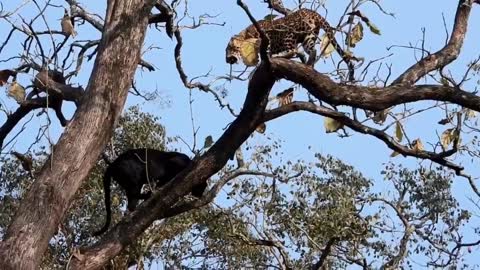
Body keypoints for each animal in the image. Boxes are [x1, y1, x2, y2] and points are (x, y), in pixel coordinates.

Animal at [226, 8, 356, 79]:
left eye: (230, 48)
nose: (227, 60)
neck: (245, 35)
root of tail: (312, 12)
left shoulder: (265, 39)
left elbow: (266, 53)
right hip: (308, 37)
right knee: (311, 51)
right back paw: (308, 64)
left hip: (289, 34)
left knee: (293, 50)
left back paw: (282, 56)